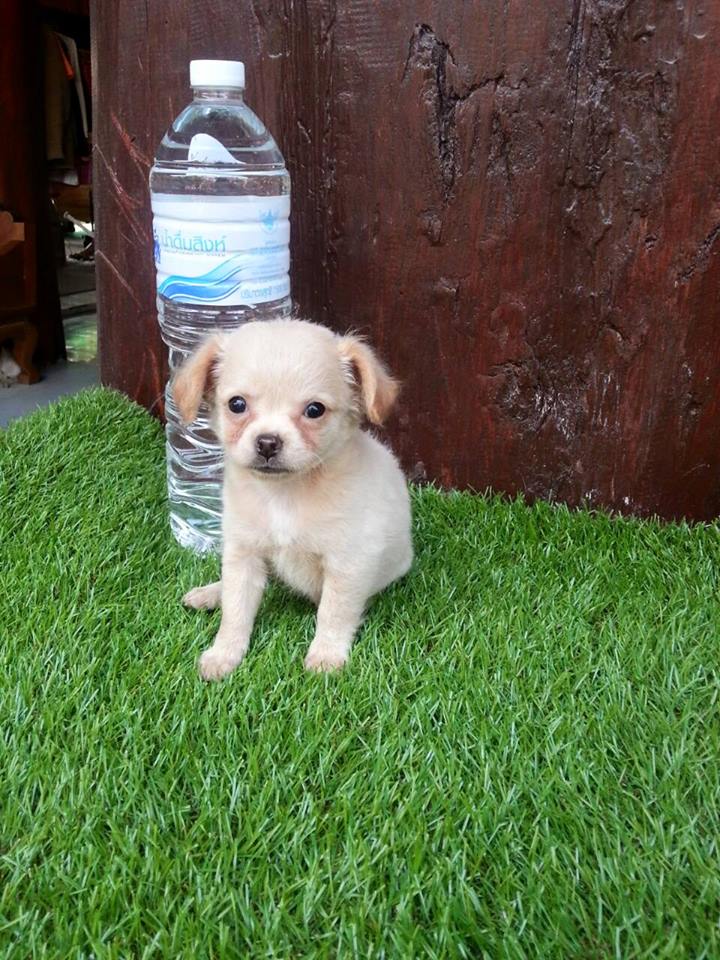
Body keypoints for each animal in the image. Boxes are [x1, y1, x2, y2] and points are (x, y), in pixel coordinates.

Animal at [173, 319, 413, 678]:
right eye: (237, 404)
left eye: (314, 410)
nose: (268, 442)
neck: (283, 495)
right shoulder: (243, 554)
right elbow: (236, 610)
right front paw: (224, 654)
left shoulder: (349, 563)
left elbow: (334, 612)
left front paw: (326, 655)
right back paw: (211, 593)